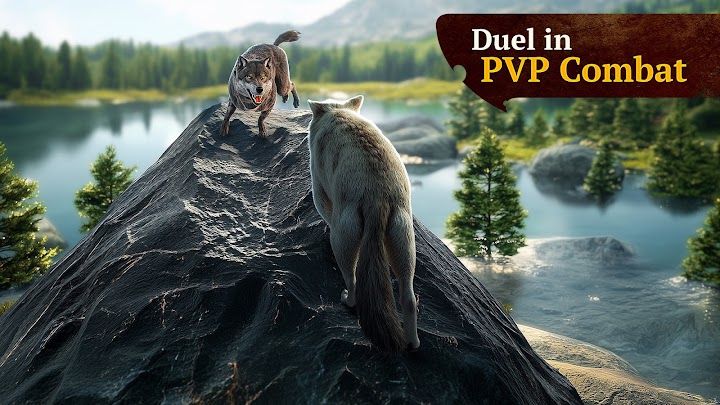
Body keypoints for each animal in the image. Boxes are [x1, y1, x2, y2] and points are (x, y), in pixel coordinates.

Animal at [307, 95, 420, 351]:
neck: (338, 112)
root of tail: (378, 198)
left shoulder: (318, 183)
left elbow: (323, 209)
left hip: (344, 235)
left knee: (352, 279)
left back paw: (346, 299)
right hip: (403, 235)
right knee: (408, 296)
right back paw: (413, 342)